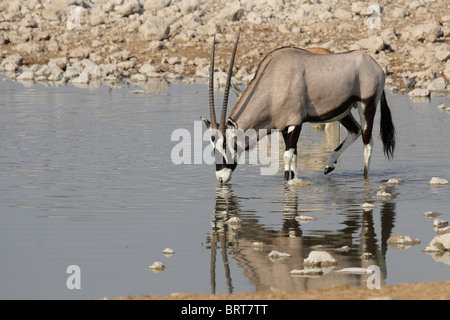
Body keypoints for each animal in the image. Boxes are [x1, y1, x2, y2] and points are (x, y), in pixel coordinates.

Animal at [200, 33, 394, 184]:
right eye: (213, 146)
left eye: (227, 144)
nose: (221, 178)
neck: (272, 82)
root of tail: (375, 66)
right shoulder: (284, 128)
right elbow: (294, 157)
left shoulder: (295, 123)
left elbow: (287, 156)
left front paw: (287, 183)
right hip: (342, 112)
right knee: (355, 130)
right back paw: (328, 165)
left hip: (367, 106)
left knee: (367, 143)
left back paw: (364, 177)